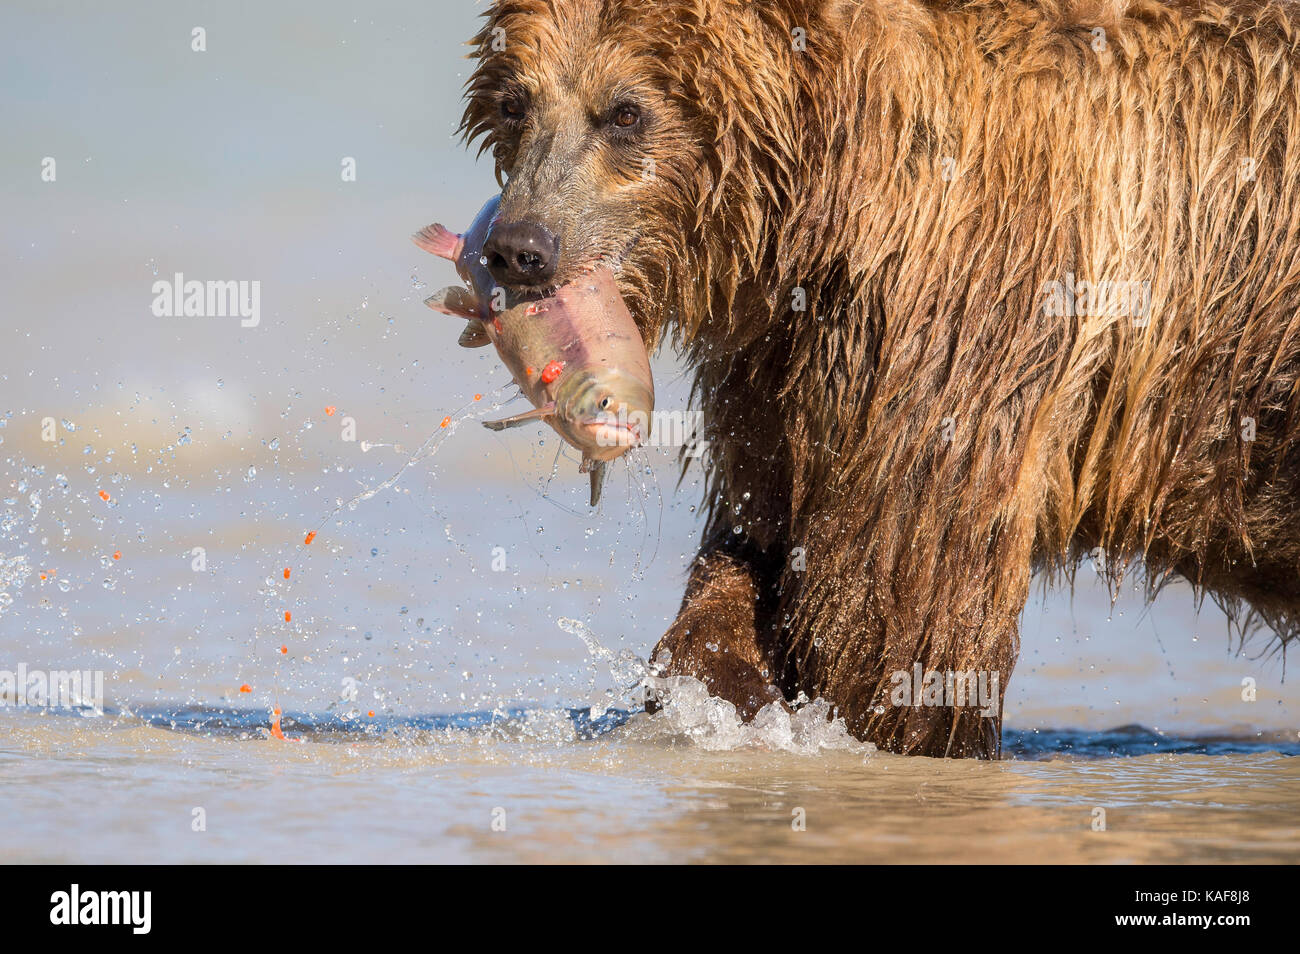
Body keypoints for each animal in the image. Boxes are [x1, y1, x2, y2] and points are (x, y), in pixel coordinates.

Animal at [462, 1, 1300, 764]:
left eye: (626, 110)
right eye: (515, 102)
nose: (519, 246)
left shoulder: (971, 301)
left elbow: (901, 611)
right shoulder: (786, 355)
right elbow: (762, 532)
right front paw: (721, 686)